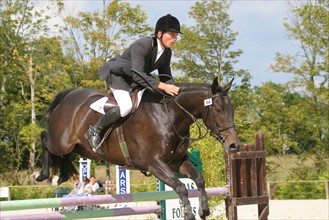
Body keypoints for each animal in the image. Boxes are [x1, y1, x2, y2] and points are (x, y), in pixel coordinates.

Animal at [36, 77, 240, 220]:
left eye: (232, 109)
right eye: (218, 110)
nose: (234, 145)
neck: (169, 116)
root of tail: (68, 95)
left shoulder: (176, 162)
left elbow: (199, 179)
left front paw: (204, 210)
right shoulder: (153, 164)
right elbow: (181, 187)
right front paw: (188, 213)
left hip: (80, 149)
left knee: (63, 154)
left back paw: (62, 175)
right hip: (61, 142)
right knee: (45, 139)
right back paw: (43, 174)